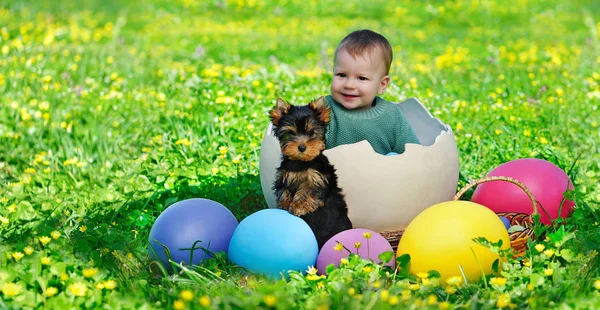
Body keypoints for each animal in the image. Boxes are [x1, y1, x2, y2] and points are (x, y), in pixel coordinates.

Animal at [268, 95, 352, 248]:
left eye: (312, 132)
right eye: (291, 133)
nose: (301, 147)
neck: (301, 163)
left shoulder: (317, 178)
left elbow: (307, 190)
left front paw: (298, 206)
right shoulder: (284, 175)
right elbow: (283, 189)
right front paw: (284, 204)